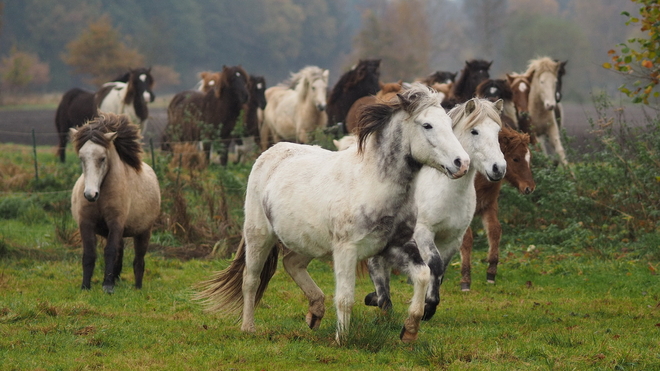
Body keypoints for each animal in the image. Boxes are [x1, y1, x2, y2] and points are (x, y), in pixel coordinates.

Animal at [70, 112, 161, 294]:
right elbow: (89, 254)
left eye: (102, 158)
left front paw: (108, 286)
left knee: (138, 259)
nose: (90, 194)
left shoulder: (116, 222)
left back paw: (137, 287)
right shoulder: (86, 223)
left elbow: (110, 251)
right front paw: (85, 286)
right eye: (82, 158)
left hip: (144, 232)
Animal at [193, 84, 472, 346]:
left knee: (292, 264)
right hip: (259, 236)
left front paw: (409, 331)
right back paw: (248, 327)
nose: (462, 163)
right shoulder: (347, 250)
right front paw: (342, 339)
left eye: (449, 123)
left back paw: (315, 312)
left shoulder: (396, 246)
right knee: (251, 279)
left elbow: (423, 275)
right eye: (427, 125)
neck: (373, 183)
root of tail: (271, 152)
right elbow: (345, 297)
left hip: (308, 242)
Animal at [366, 97, 506, 322]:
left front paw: (427, 306)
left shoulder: (453, 239)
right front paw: (428, 306)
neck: (445, 190)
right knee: (375, 264)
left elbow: (441, 271)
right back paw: (384, 303)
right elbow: (435, 264)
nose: (498, 168)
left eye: (497, 131)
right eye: (474, 131)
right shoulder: (424, 233)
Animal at [458, 126, 536, 292]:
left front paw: (491, 273)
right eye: (515, 158)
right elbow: (467, 239)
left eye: (529, 158)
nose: (530, 188)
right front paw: (465, 280)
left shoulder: (488, 205)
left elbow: (495, 231)